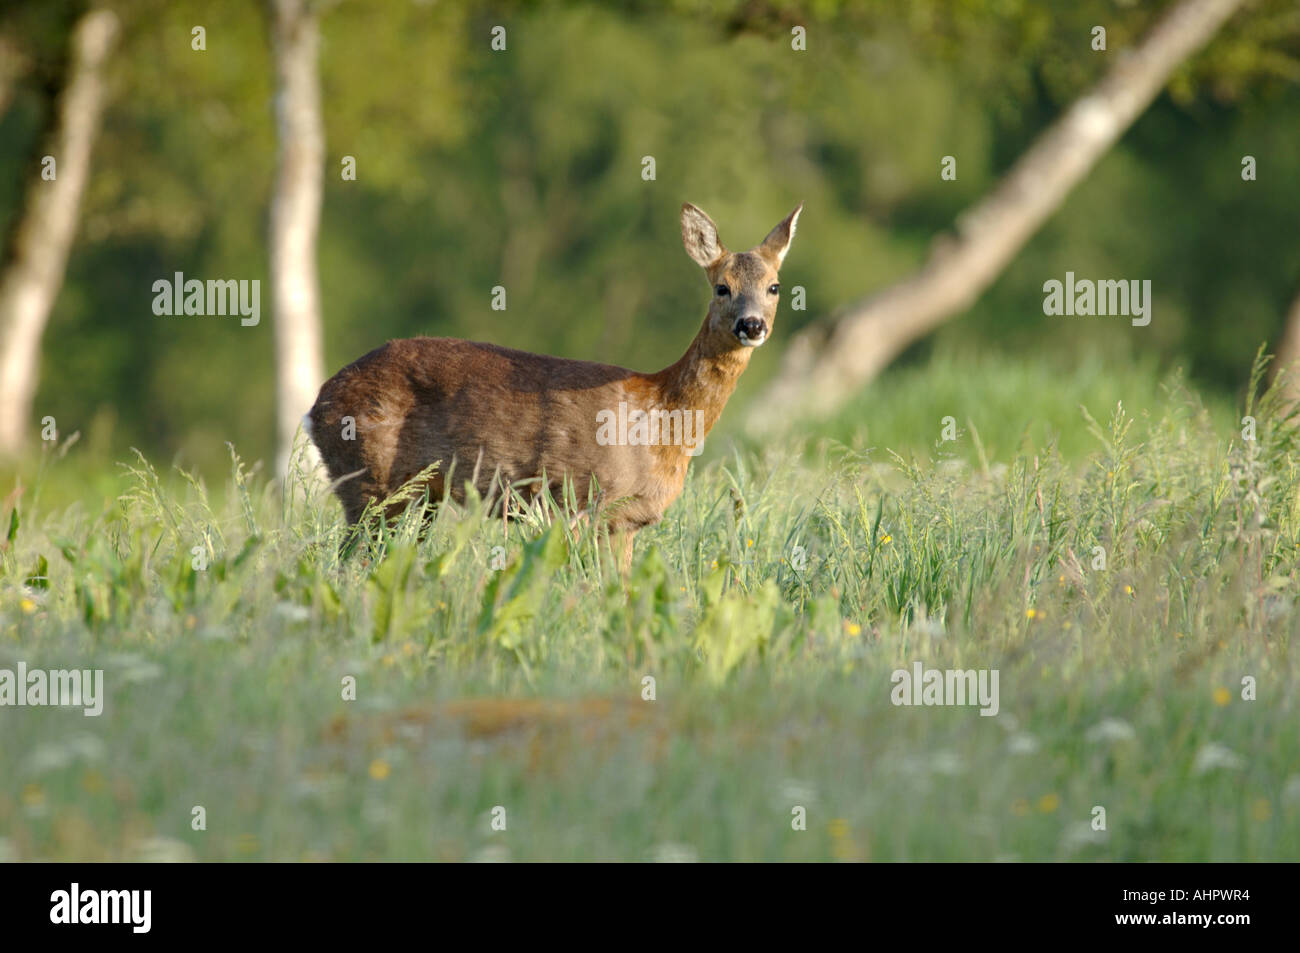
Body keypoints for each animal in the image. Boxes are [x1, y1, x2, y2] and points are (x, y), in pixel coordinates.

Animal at [305, 202, 802, 570]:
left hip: (416, 495)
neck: (660, 418)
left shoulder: (625, 523)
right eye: (722, 287)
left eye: (775, 286)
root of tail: (317, 405)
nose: (751, 324)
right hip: (370, 480)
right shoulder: (590, 503)